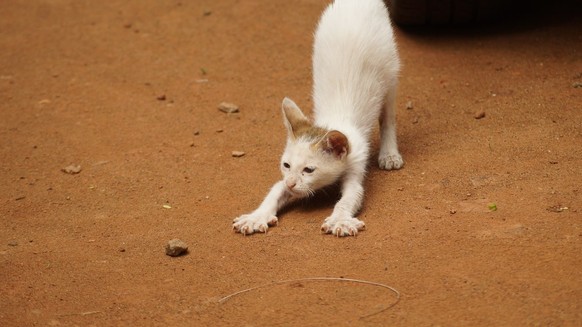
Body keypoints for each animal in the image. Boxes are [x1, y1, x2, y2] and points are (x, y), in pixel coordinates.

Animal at [232, 0, 402, 237]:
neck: (331, 122)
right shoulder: (287, 181)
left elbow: (349, 197)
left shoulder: (356, 163)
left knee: (388, 117)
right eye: (286, 165)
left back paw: (390, 154)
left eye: (309, 170)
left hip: (391, 69)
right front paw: (257, 216)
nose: (292, 184)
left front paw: (340, 220)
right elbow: (275, 190)